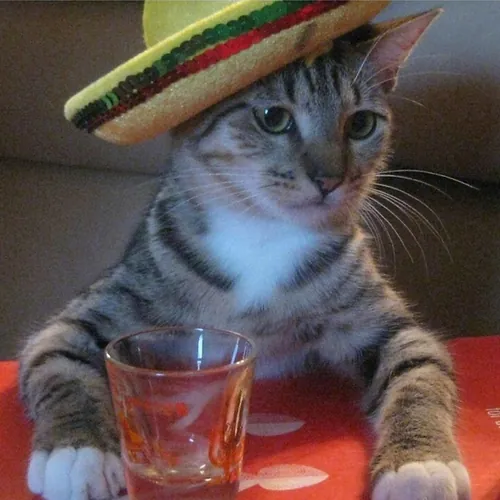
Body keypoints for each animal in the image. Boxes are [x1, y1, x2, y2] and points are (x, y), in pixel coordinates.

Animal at [19, 9, 471, 500]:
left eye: (361, 124)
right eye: (273, 117)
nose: (330, 179)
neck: (262, 235)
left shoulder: (386, 325)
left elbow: (419, 373)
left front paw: (422, 464)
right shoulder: (91, 312)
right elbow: (58, 364)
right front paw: (76, 453)